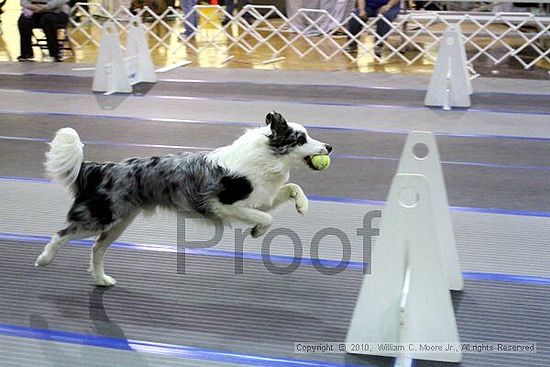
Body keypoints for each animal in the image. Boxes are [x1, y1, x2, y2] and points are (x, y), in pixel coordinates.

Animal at [37, 112, 336, 288]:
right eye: (301, 139)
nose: (330, 147)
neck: (266, 158)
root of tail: (101, 168)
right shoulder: (223, 204)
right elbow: (267, 217)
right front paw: (257, 231)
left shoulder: (260, 197)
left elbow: (292, 188)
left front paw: (302, 204)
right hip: (100, 217)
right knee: (61, 234)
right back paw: (44, 259)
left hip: (119, 222)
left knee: (97, 249)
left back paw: (101, 280)